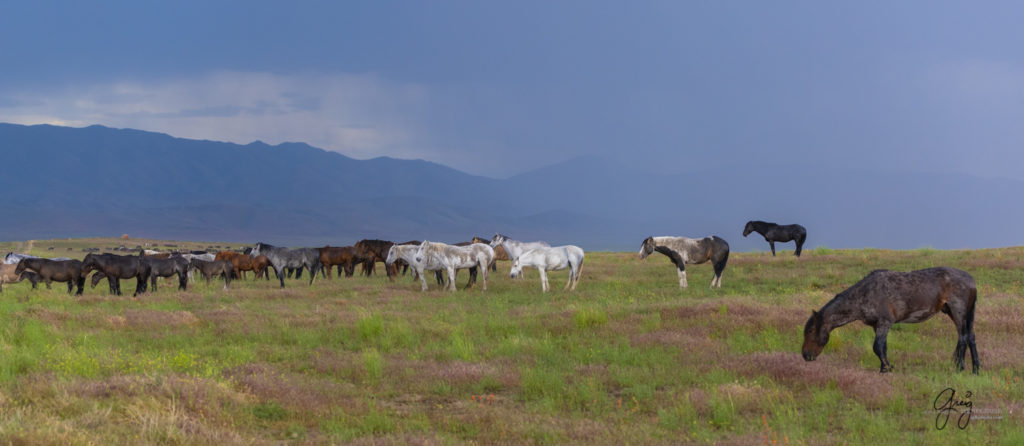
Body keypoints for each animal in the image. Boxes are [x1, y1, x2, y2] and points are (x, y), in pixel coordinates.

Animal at [802, 265, 978, 374]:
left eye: (810, 331)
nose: (805, 355)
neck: (865, 293)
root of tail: (971, 280)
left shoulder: (885, 323)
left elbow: (877, 347)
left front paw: (888, 368)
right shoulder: (877, 325)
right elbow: (883, 348)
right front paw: (883, 369)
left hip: (958, 312)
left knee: (963, 338)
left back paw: (959, 368)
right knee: (970, 337)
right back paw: (975, 370)